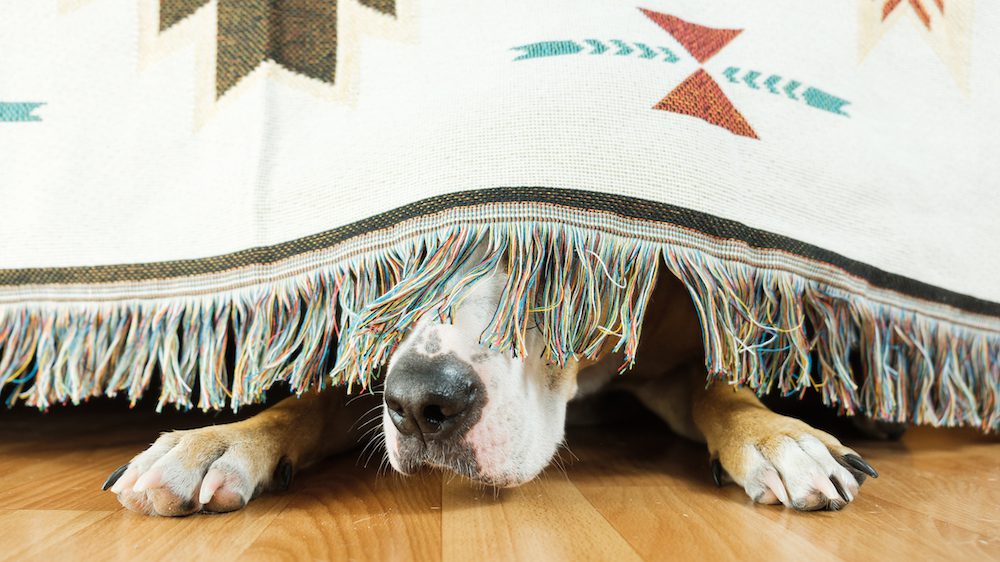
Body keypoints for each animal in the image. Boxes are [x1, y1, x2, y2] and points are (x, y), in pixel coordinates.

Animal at [103, 256, 876, 516]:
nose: (422, 404)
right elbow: (306, 404)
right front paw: (215, 444)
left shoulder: (673, 356)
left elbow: (725, 389)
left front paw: (780, 440)